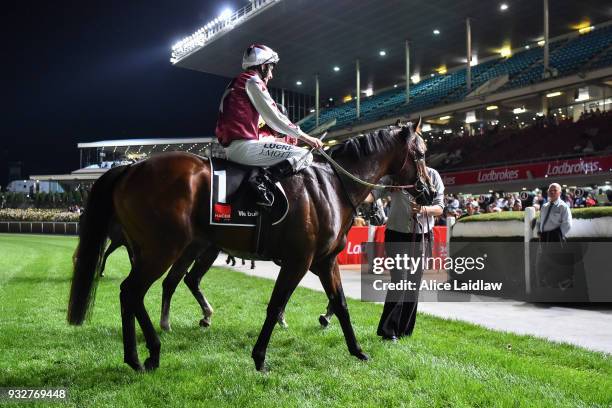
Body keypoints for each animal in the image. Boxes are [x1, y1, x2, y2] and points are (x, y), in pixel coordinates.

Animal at [68, 120, 430, 370]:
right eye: (422, 153)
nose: (428, 191)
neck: (330, 186)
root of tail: (131, 166)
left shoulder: (325, 261)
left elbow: (340, 304)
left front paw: (357, 350)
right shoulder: (300, 261)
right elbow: (275, 305)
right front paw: (259, 357)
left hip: (157, 249)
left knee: (144, 290)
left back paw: (140, 353)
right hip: (164, 249)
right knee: (135, 290)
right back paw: (151, 352)